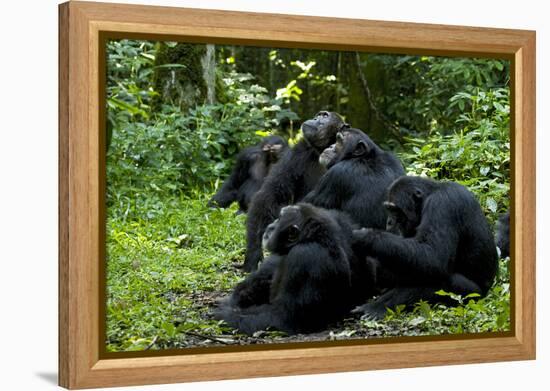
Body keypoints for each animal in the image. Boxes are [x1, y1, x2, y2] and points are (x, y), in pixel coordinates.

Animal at [216, 204, 370, 336]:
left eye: (280, 218)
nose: (271, 225)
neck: (312, 239)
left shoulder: (305, 256)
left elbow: (283, 317)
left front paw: (224, 314)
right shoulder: (339, 223)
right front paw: (240, 294)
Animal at [240, 111, 344, 272]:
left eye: (325, 116)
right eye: (319, 115)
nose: (315, 118)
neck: (323, 149)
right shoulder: (297, 153)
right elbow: (271, 194)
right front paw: (253, 254)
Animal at [354, 176, 500, 320]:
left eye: (395, 210)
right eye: (388, 210)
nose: (389, 222)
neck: (429, 195)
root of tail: (487, 292)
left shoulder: (442, 204)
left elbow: (433, 256)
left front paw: (366, 236)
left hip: (470, 296)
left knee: (441, 279)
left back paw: (378, 307)